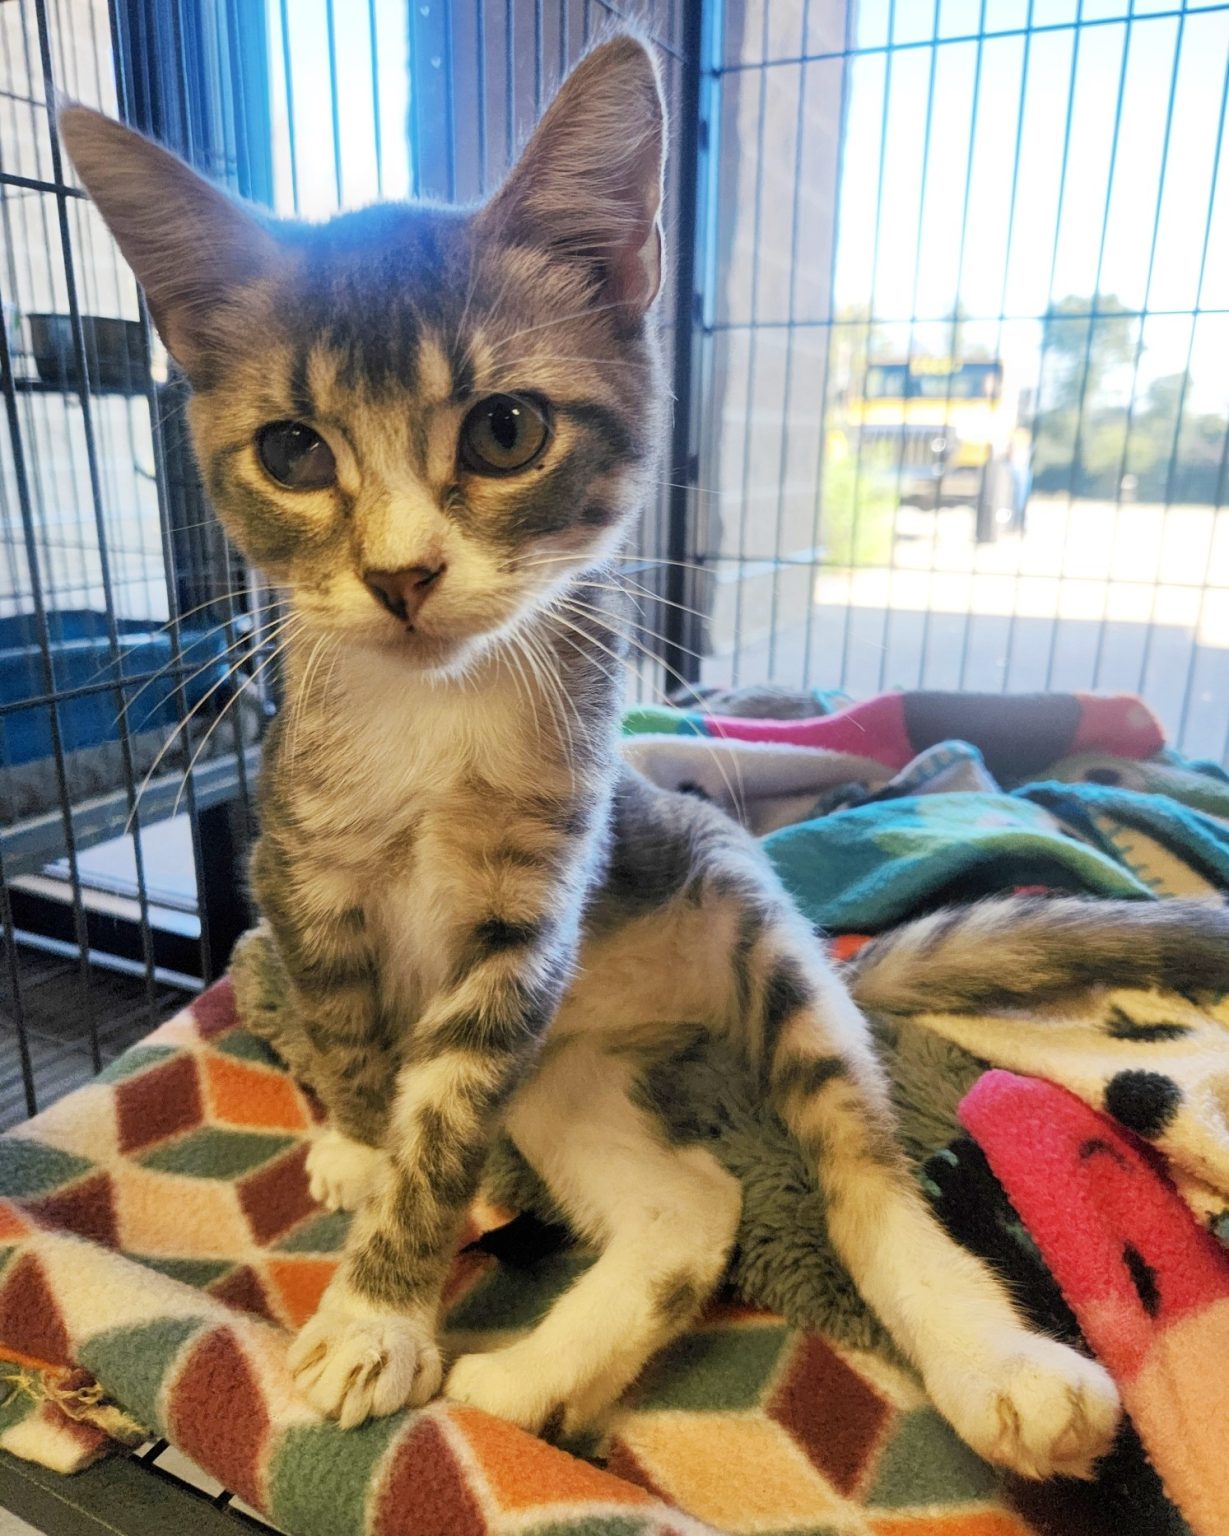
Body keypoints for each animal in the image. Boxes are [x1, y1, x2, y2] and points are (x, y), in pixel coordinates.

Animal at [62, 34, 1228, 1478]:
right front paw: (353, 1146)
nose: (400, 576)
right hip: (562, 1073)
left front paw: (375, 1309)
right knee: (693, 1206)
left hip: (751, 936)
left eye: (505, 430)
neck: (432, 715)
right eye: (291, 450)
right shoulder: (300, 866)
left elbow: (442, 1123)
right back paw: (528, 1388)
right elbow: (342, 1032)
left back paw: (988, 1358)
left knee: (857, 1176)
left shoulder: (526, 925)